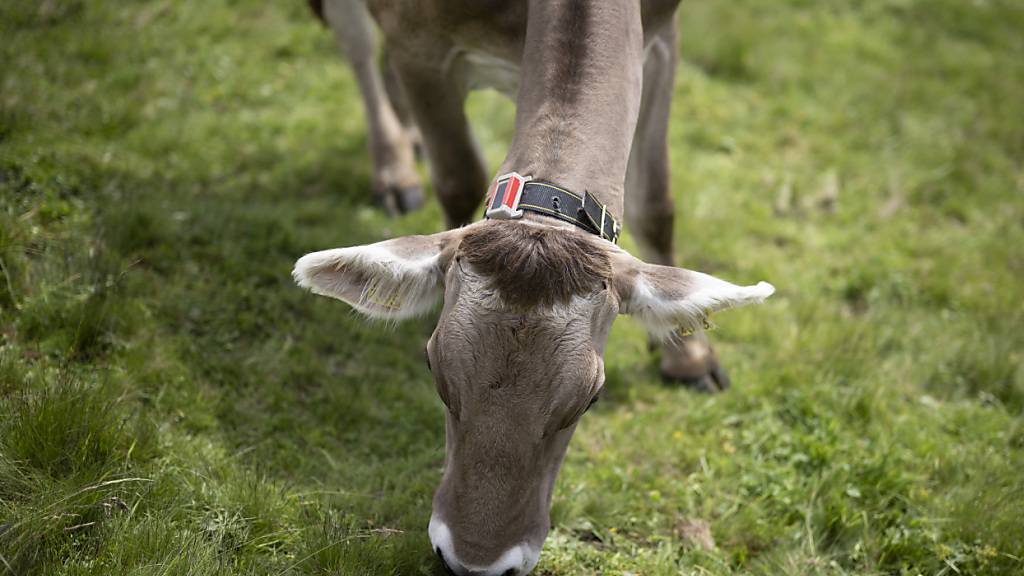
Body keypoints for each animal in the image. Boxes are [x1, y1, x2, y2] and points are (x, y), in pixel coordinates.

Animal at [294, 1, 774, 574]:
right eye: (433, 368)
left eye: (591, 398)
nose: (475, 563)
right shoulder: (419, 45)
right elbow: (457, 177)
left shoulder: (662, 35)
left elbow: (656, 204)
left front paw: (692, 358)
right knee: (360, 47)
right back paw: (395, 170)